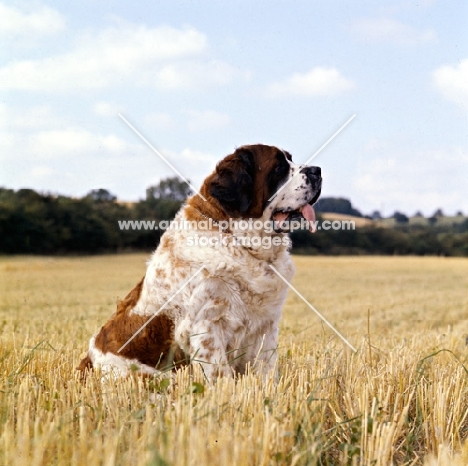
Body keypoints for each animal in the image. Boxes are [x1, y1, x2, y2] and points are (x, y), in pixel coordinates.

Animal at [77, 144, 322, 380]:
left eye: (290, 159)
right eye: (279, 167)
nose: (316, 171)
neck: (237, 240)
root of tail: (86, 364)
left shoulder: (266, 327)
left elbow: (267, 372)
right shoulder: (207, 327)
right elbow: (220, 376)